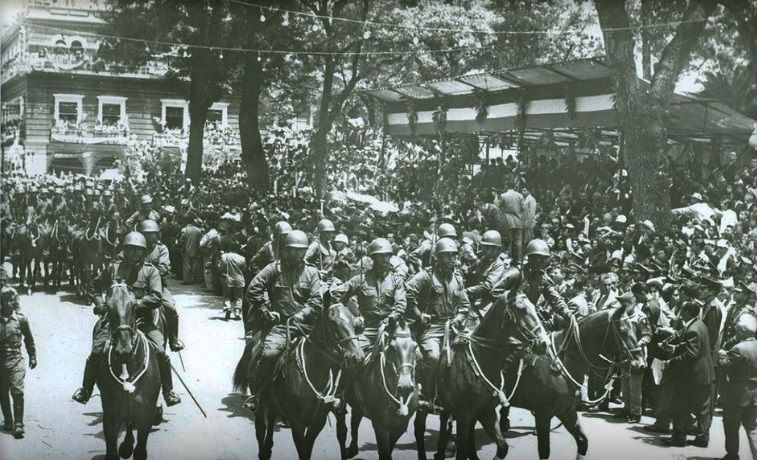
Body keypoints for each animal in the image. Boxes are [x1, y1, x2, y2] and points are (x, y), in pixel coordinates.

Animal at [96, 284, 161, 460]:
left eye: (134, 306)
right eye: (108, 307)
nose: (123, 350)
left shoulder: (146, 414)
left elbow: (140, 451)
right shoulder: (110, 415)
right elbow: (111, 451)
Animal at [232, 302, 364, 460]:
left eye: (355, 323)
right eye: (332, 323)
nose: (357, 357)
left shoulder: (318, 422)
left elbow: (309, 449)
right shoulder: (298, 423)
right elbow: (303, 451)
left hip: (272, 403)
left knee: (270, 424)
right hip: (259, 404)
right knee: (260, 429)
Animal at [338, 322, 420, 460]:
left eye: (415, 347)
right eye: (392, 348)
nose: (405, 386)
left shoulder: (400, 427)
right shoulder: (380, 427)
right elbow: (385, 452)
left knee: (355, 420)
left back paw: (353, 449)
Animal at [414, 292, 548, 460]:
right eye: (522, 309)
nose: (544, 343)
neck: (481, 358)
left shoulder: (486, 411)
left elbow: (502, 447)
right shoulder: (464, 416)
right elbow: (462, 450)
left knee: (443, 423)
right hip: (423, 403)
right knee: (419, 428)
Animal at [496, 308, 648, 460]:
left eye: (636, 330)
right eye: (623, 331)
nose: (641, 365)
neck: (562, 364)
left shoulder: (567, 411)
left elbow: (582, 441)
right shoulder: (543, 414)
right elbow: (544, 451)